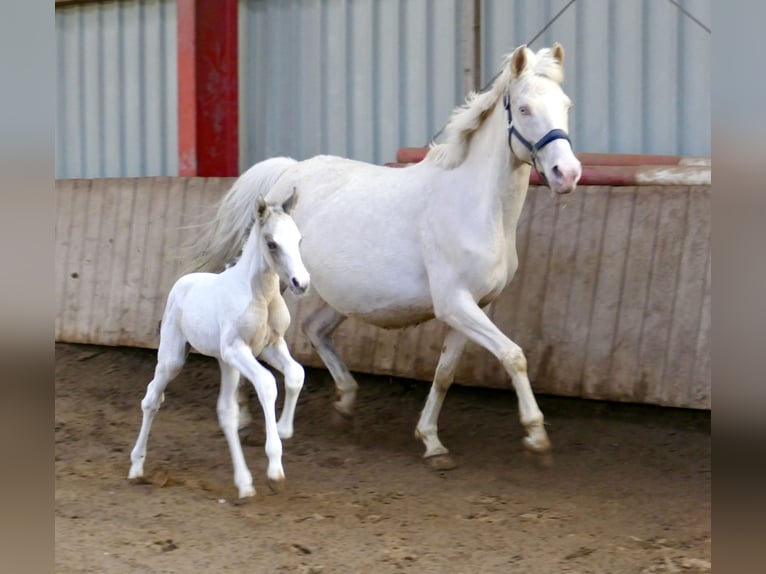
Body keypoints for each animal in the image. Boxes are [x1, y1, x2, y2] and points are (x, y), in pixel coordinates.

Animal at [128, 180, 310, 498]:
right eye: (272, 243)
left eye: (299, 240)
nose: (301, 283)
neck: (261, 296)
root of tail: (183, 282)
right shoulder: (237, 349)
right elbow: (267, 383)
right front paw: (275, 470)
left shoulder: (270, 346)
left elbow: (296, 373)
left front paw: (284, 428)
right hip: (175, 358)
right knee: (151, 399)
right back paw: (136, 467)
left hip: (226, 363)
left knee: (226, 412)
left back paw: (245, 483)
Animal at [194, 43, 581, 469]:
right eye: (525, 108)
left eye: (566, 105)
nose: (567, 174)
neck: (477, 207)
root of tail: (287, 171)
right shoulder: (455, 304)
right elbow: (514, 356)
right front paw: (537, 438)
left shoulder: (475, 306)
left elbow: (446, 372)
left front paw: (432, 442)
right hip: (276, 282)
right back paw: (245, 419)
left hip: (339, 295)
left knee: (316, 329)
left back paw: (344, 405)